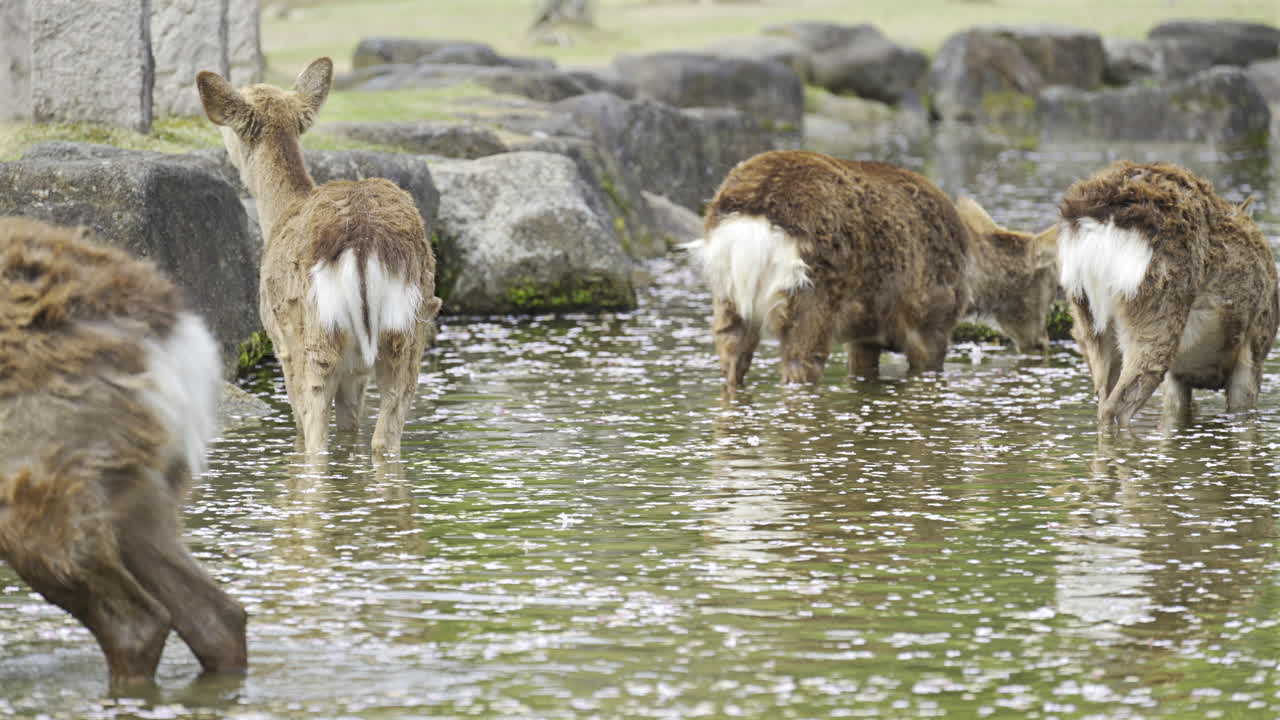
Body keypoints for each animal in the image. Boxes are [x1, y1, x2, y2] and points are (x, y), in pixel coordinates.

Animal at [196, 57, 441, 461]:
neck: (279, 212)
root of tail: (365, 243)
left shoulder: (279, 340)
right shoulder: (356, 371)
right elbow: (350, 428)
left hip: (317, 335)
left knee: (314, 440)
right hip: (407, 334)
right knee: (384, 438)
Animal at [688, 150, 1059, 390]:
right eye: (1053, 284)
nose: (1041, 341)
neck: (970, 275)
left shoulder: (865, 336)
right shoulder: (930, 322)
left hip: (727, 299)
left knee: (731, 363)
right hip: (812, 294)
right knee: (800, 365)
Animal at [1058, 161, 1279, 429]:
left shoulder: (1176, 378)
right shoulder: (1253, 348)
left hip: (1085, 319)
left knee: (1103, 400)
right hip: (1157, 306)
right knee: (1117, 407)